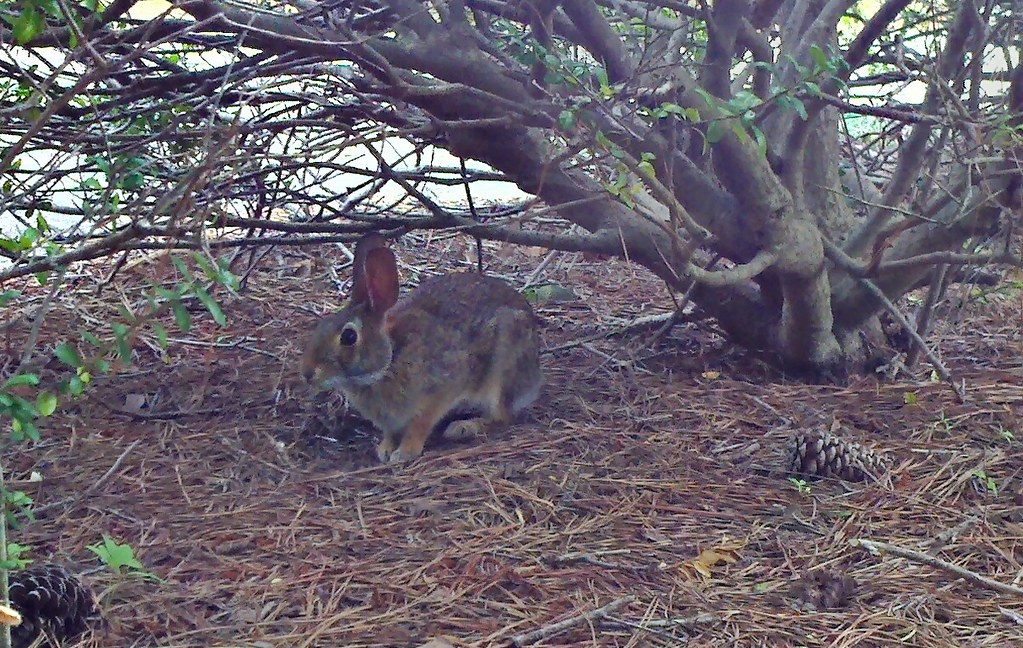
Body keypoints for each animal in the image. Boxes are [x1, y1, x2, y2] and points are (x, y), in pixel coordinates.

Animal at [300, 235, 544, 462]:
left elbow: (421, 424)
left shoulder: (441, 390)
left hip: (502, 370)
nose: (307, 373)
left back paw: (464, 427)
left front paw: (405, 452)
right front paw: (385, 449)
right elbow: (391, 432)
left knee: (502, 416)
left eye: (349, 337)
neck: (391, 359)